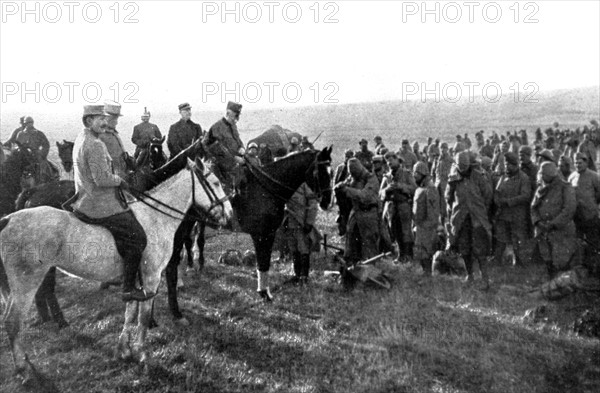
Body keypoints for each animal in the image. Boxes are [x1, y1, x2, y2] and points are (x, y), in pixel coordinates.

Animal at [0, 155, 232, 380]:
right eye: (215, 183)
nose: (229, 215)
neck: (155, 218)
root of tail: (8, 219)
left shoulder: (135, 281)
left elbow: (130, 313)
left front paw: (124, 350)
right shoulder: (151, 277)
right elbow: (143, 317)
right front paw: (143, 354)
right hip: (27, 282)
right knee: (14, 321)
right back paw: (23, 368)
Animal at [165, 147, 332, 322]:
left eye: (331, 172)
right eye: (320, 172)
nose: (327, 202)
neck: (267, 189)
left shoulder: (270, 234)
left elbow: (266, 262)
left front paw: (266, 292)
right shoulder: (260, 235)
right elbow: (262, 263)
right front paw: (263, 293)